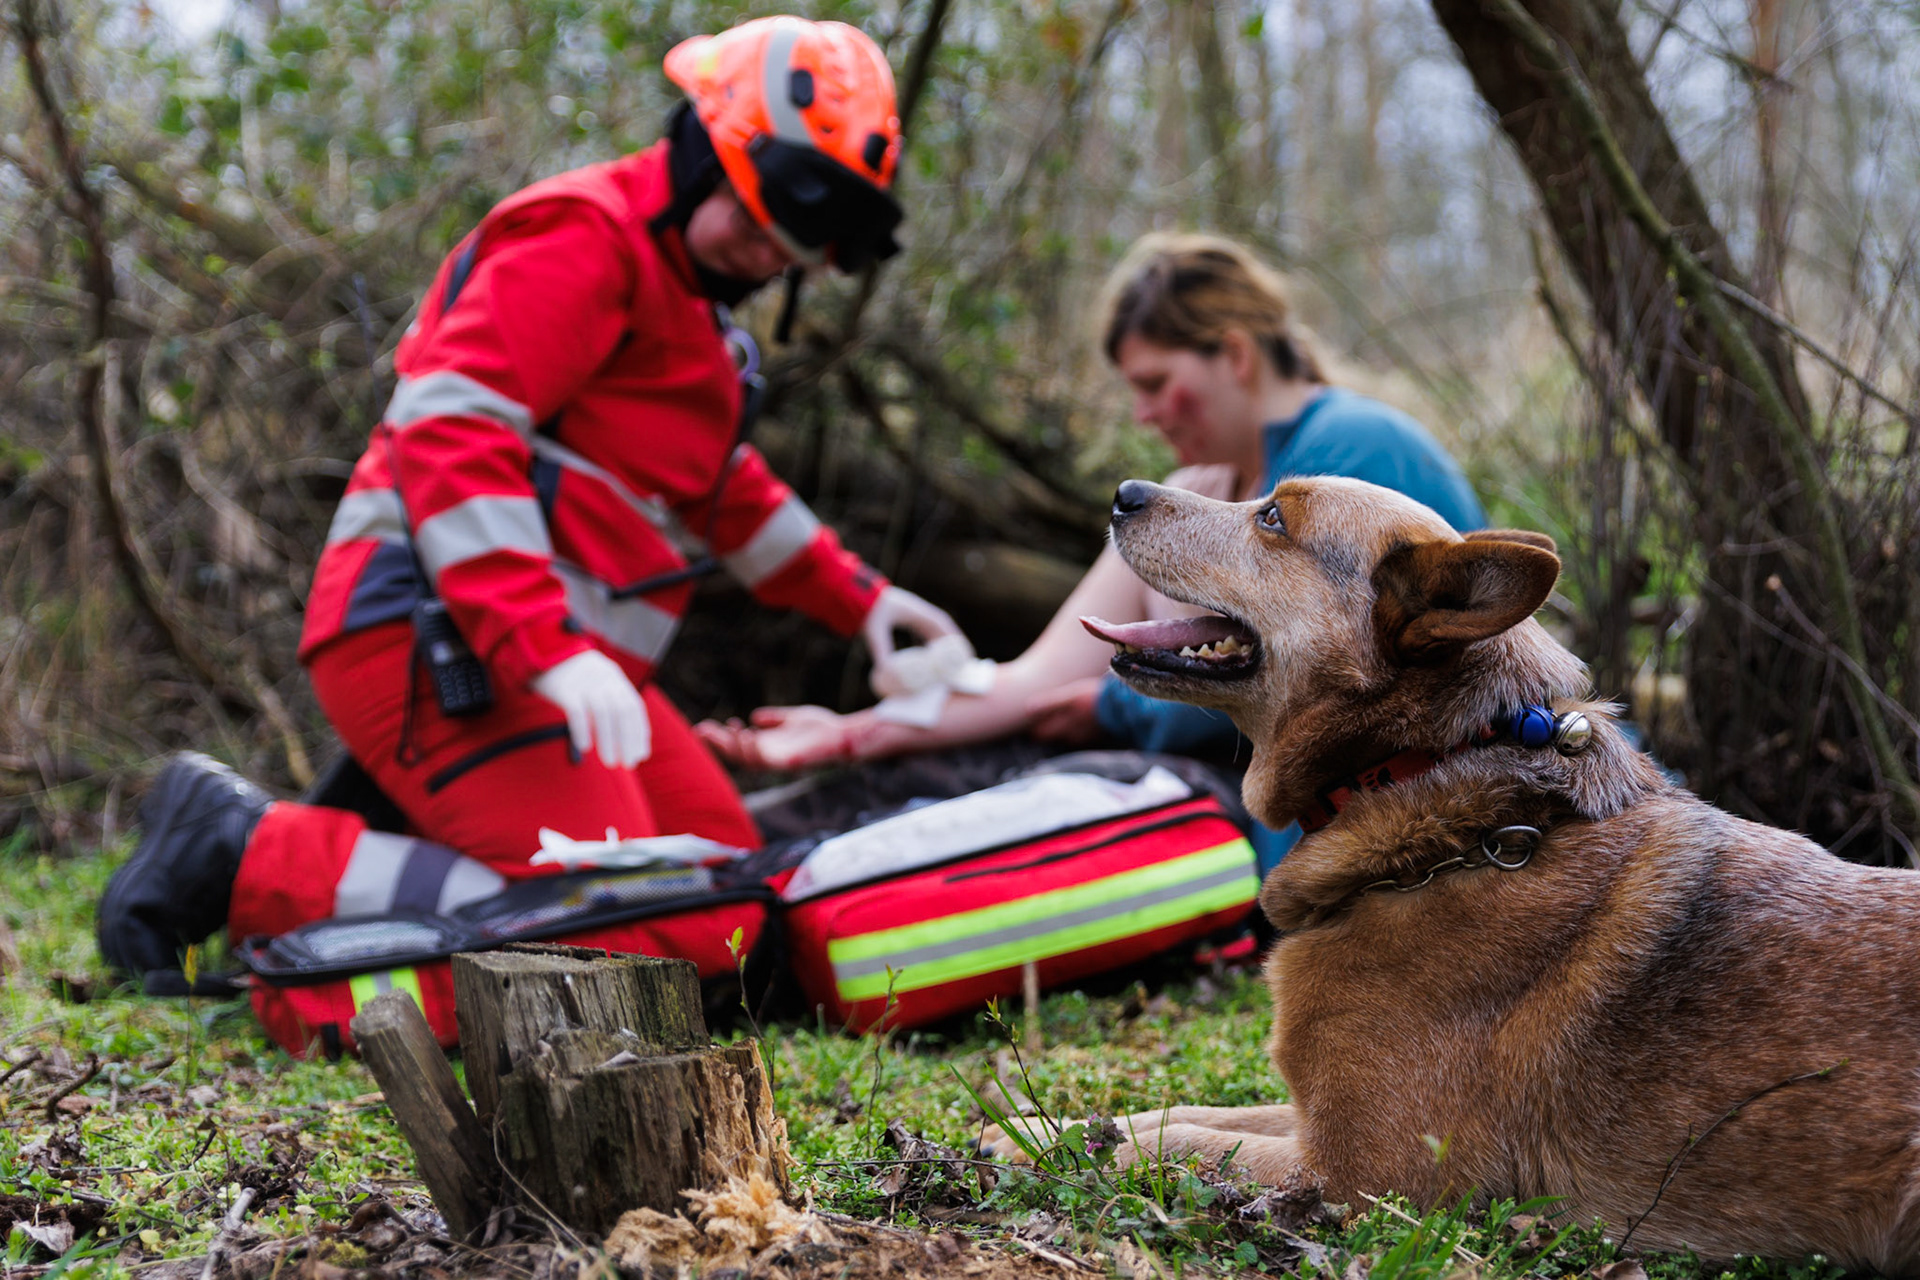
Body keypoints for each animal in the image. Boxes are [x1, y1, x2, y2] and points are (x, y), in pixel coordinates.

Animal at [984, 475, 1920, 1272]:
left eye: (1274, 517)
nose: (1124, 492)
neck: (1428, 791)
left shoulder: (1366, 1174)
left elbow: (1178, 1142)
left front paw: (1066, 1138)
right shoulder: (1315, 1116)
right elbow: (1182, 1112)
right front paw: (1026, 1121)